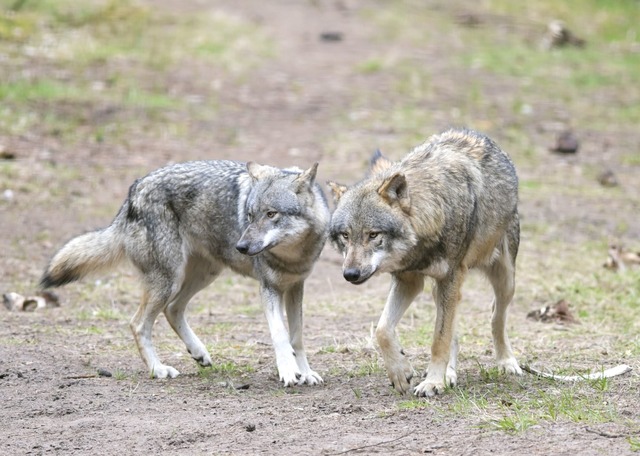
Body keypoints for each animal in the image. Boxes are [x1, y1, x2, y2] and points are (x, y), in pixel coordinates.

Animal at [40, 159, 330, 386]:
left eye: (271, 214)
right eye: (249, 216)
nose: (241, 246)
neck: (293, 255)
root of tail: (134, 190)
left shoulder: (295, 287)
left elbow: (297, 337)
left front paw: (305, 373)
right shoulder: (268, 288)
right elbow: (280, 335)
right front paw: (289, 372)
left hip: (204, 275)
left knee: (172, 309)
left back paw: (198, 352)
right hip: (169, 280)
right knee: (138, 323)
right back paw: (158, 369)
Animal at [328, 127, 524, 396]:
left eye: (373, 234)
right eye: (345, 236)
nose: (350, 274)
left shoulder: (449, 278)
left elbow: (439, 339)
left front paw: (432, 382)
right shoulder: (409, 280)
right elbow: (382, 330)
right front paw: (401, 372)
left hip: (504, 280)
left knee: (496, 316)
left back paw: (507, 362)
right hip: (440, 289)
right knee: (455, 331)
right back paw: (449, 374)